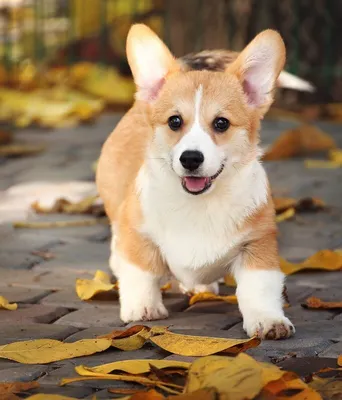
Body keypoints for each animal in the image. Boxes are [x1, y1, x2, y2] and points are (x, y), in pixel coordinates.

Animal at [96, 24, 294, 340]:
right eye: (174, 121)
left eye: (221, 123)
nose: (190, 159)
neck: (198, 204)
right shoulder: (138, 233)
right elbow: (141, 272)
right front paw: (142, 307)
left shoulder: (257, 245)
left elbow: (260, 288)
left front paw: (268, 320)